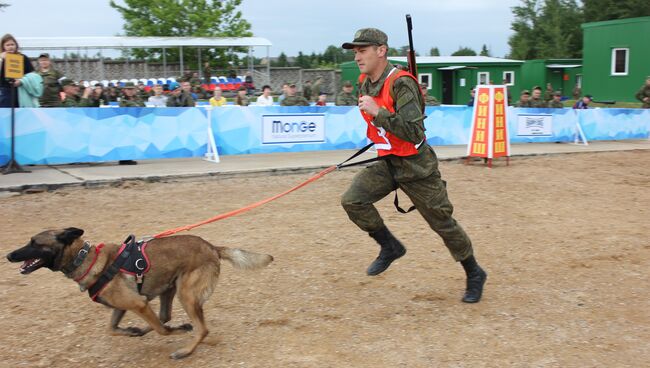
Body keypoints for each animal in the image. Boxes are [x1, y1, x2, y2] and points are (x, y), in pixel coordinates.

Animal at [3, 227, 270, 360]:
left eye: (35, 243)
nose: (8, 255)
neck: (86, 259)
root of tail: (212, 247)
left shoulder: (138, 303)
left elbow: (163, 331)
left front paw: (176, 331)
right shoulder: (125, 306)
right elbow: (111, 329)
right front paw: (131, 331)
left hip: (185, 294)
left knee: (198, 328)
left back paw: (185, 349)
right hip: (169, 289)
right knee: (164, 316)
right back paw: (144, 330)